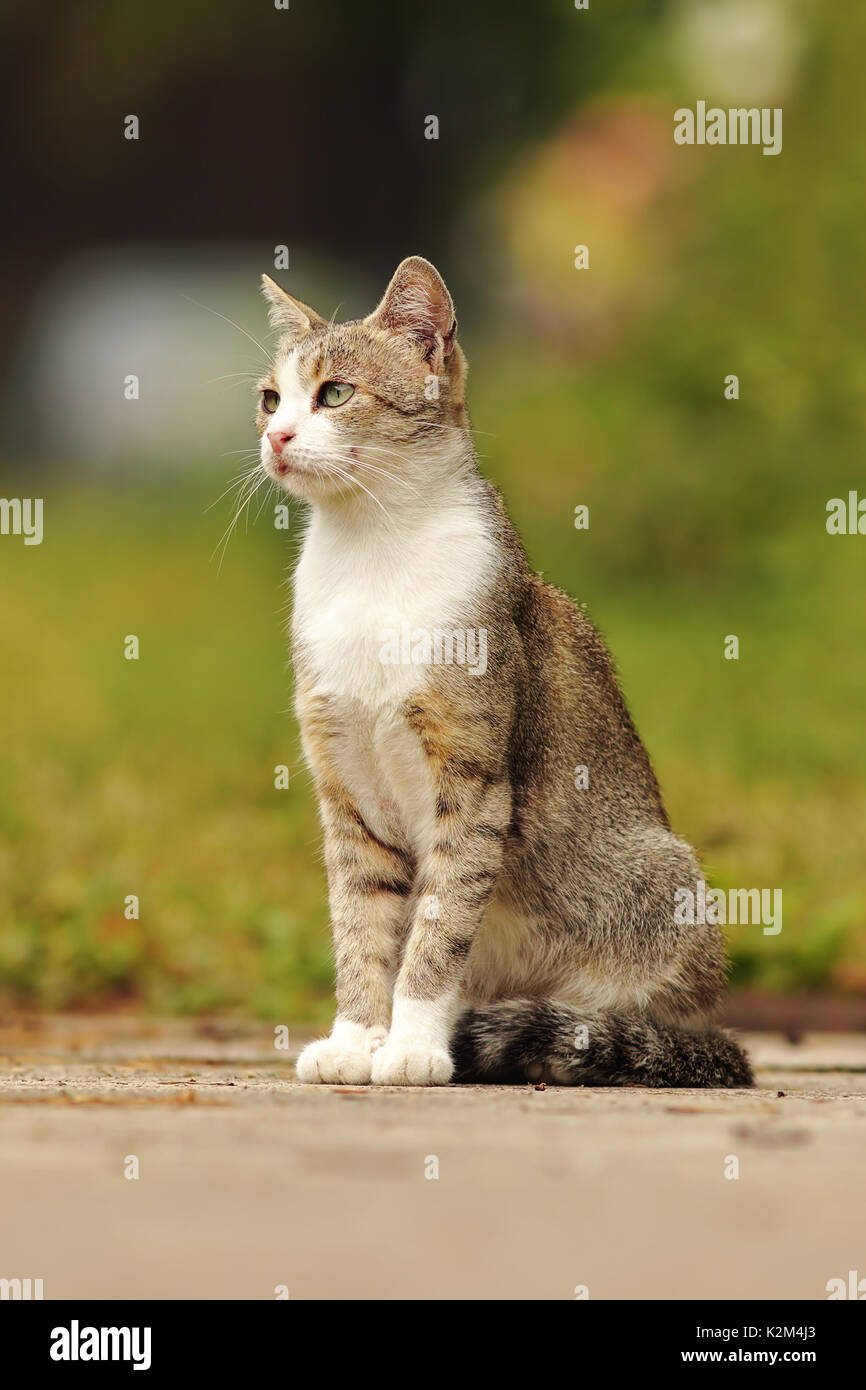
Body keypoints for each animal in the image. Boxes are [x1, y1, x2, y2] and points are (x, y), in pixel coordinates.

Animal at [252, 255, 750, 1089]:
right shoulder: (346, 787)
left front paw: (414, 1042)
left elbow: (441, 921)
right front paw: (358, 1038)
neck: (371, 560)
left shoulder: (473, 776)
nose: (276, 435)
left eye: (335, 394)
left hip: (661, 883)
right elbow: (362, 925)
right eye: (269, 398)